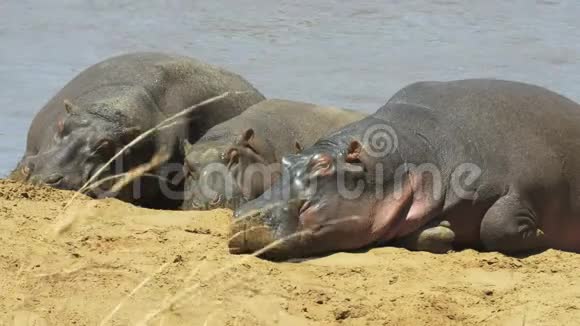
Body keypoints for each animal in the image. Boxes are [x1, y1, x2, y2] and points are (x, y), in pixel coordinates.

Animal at [228, 79, 580, 260]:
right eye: (286, 161)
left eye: (323, 165)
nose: (244, 217)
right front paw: (441, 232)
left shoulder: (520, 185)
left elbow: (497, 223)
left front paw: (541, 235)